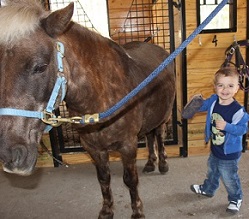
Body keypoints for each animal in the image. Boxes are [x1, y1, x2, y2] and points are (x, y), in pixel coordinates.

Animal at [0, 0, 175, 218]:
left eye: (40, 67)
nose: (10, 154)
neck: (101, 98)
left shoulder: (128, 145)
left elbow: (130, 180)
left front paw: (137, 211)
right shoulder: (93, 148)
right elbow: (103, 179)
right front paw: (107, 210)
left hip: (164, 115)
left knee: (158, 136)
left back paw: (163, 164)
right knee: (150, 136)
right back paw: (151, 164)